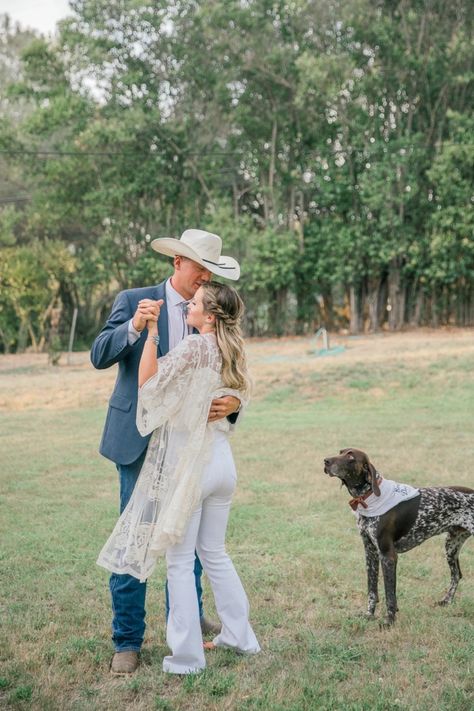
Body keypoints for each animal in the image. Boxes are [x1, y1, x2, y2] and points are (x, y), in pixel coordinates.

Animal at [322, 450, 474, 628]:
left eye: (351, 457)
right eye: (340, 452)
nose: (325, 461)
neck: (369, 497)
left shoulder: (388, 556)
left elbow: (390, 594)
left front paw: (389, 621)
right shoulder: (370, 553)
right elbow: (372, 590)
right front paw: (369, 615)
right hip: (451, 546)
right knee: (456, 575)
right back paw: (446, 601)